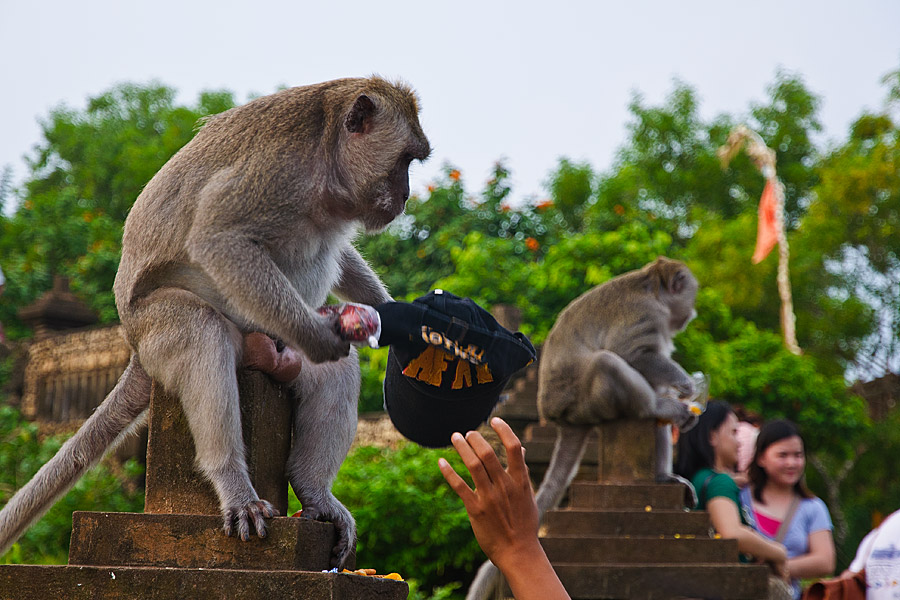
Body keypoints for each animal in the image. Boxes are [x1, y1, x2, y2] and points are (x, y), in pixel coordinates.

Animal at [0, 77, 432, 568]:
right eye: (404, 160)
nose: (405, 196)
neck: (326, 158)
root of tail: (133, 348)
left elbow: (338, 258)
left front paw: (408, 322)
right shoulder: (276, 172)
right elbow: (218, 238)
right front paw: (319, 336)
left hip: (274, 346)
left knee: (331, 370)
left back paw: (314, 492)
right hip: (157, 331)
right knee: (202, 334)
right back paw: (235, 487)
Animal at [468, 256, 700, 600]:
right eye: (690, 295)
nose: (692, 313)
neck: (653, 288)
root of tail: (563, 419)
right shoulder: (647, 315)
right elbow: (635, 354)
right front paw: (687, 385)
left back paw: (662, 474)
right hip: (586, 399)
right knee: (608, 362)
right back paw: (655, 407)